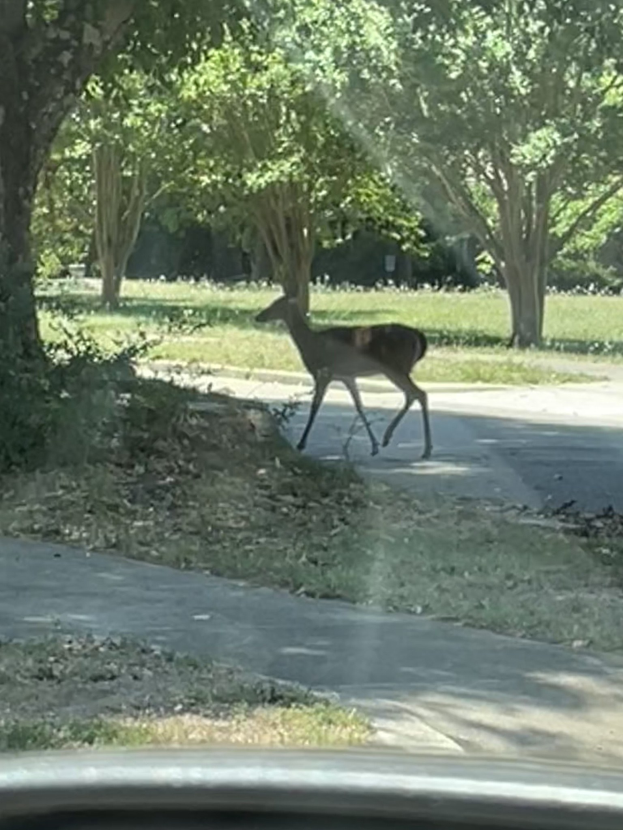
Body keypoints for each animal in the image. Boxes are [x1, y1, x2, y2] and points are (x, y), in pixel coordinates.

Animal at [255, 295, 432, 459]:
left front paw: (301, 444)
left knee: (419, 393)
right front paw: (374, 446)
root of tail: (418, 337)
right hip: (397, 370)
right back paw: (389, 439)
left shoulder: (323, 373)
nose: (258, 316)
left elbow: (315, 406)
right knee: (412, 395)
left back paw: (425, 449)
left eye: (276, 304)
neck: (310, 344)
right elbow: (359, 406)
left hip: (395, 368)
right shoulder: (347, 377)